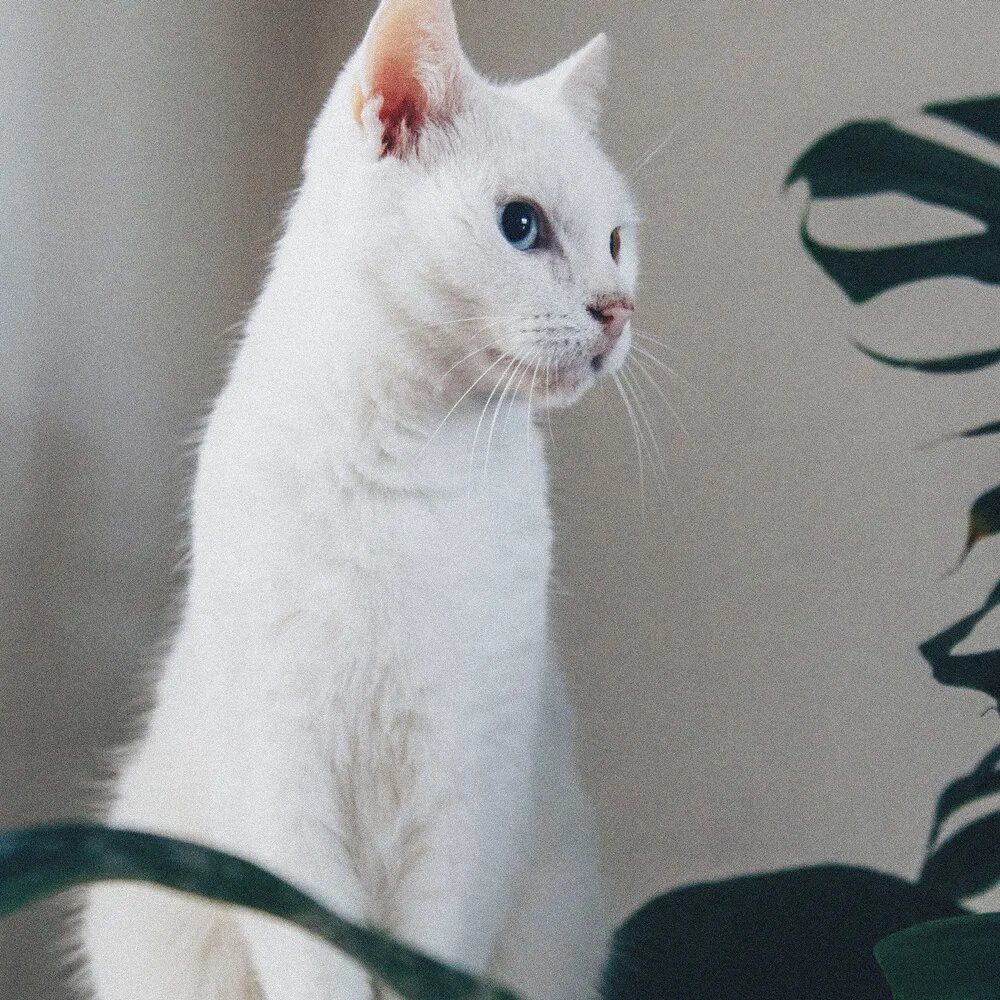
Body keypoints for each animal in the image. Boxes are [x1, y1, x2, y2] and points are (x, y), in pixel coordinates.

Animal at [82, 1, 636, 1000]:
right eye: (521, 225)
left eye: (617, 240)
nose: (619, 311)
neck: (410, 464)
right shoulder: (282, 785)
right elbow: (316, 966)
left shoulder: (468, 788)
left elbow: (429, 956)